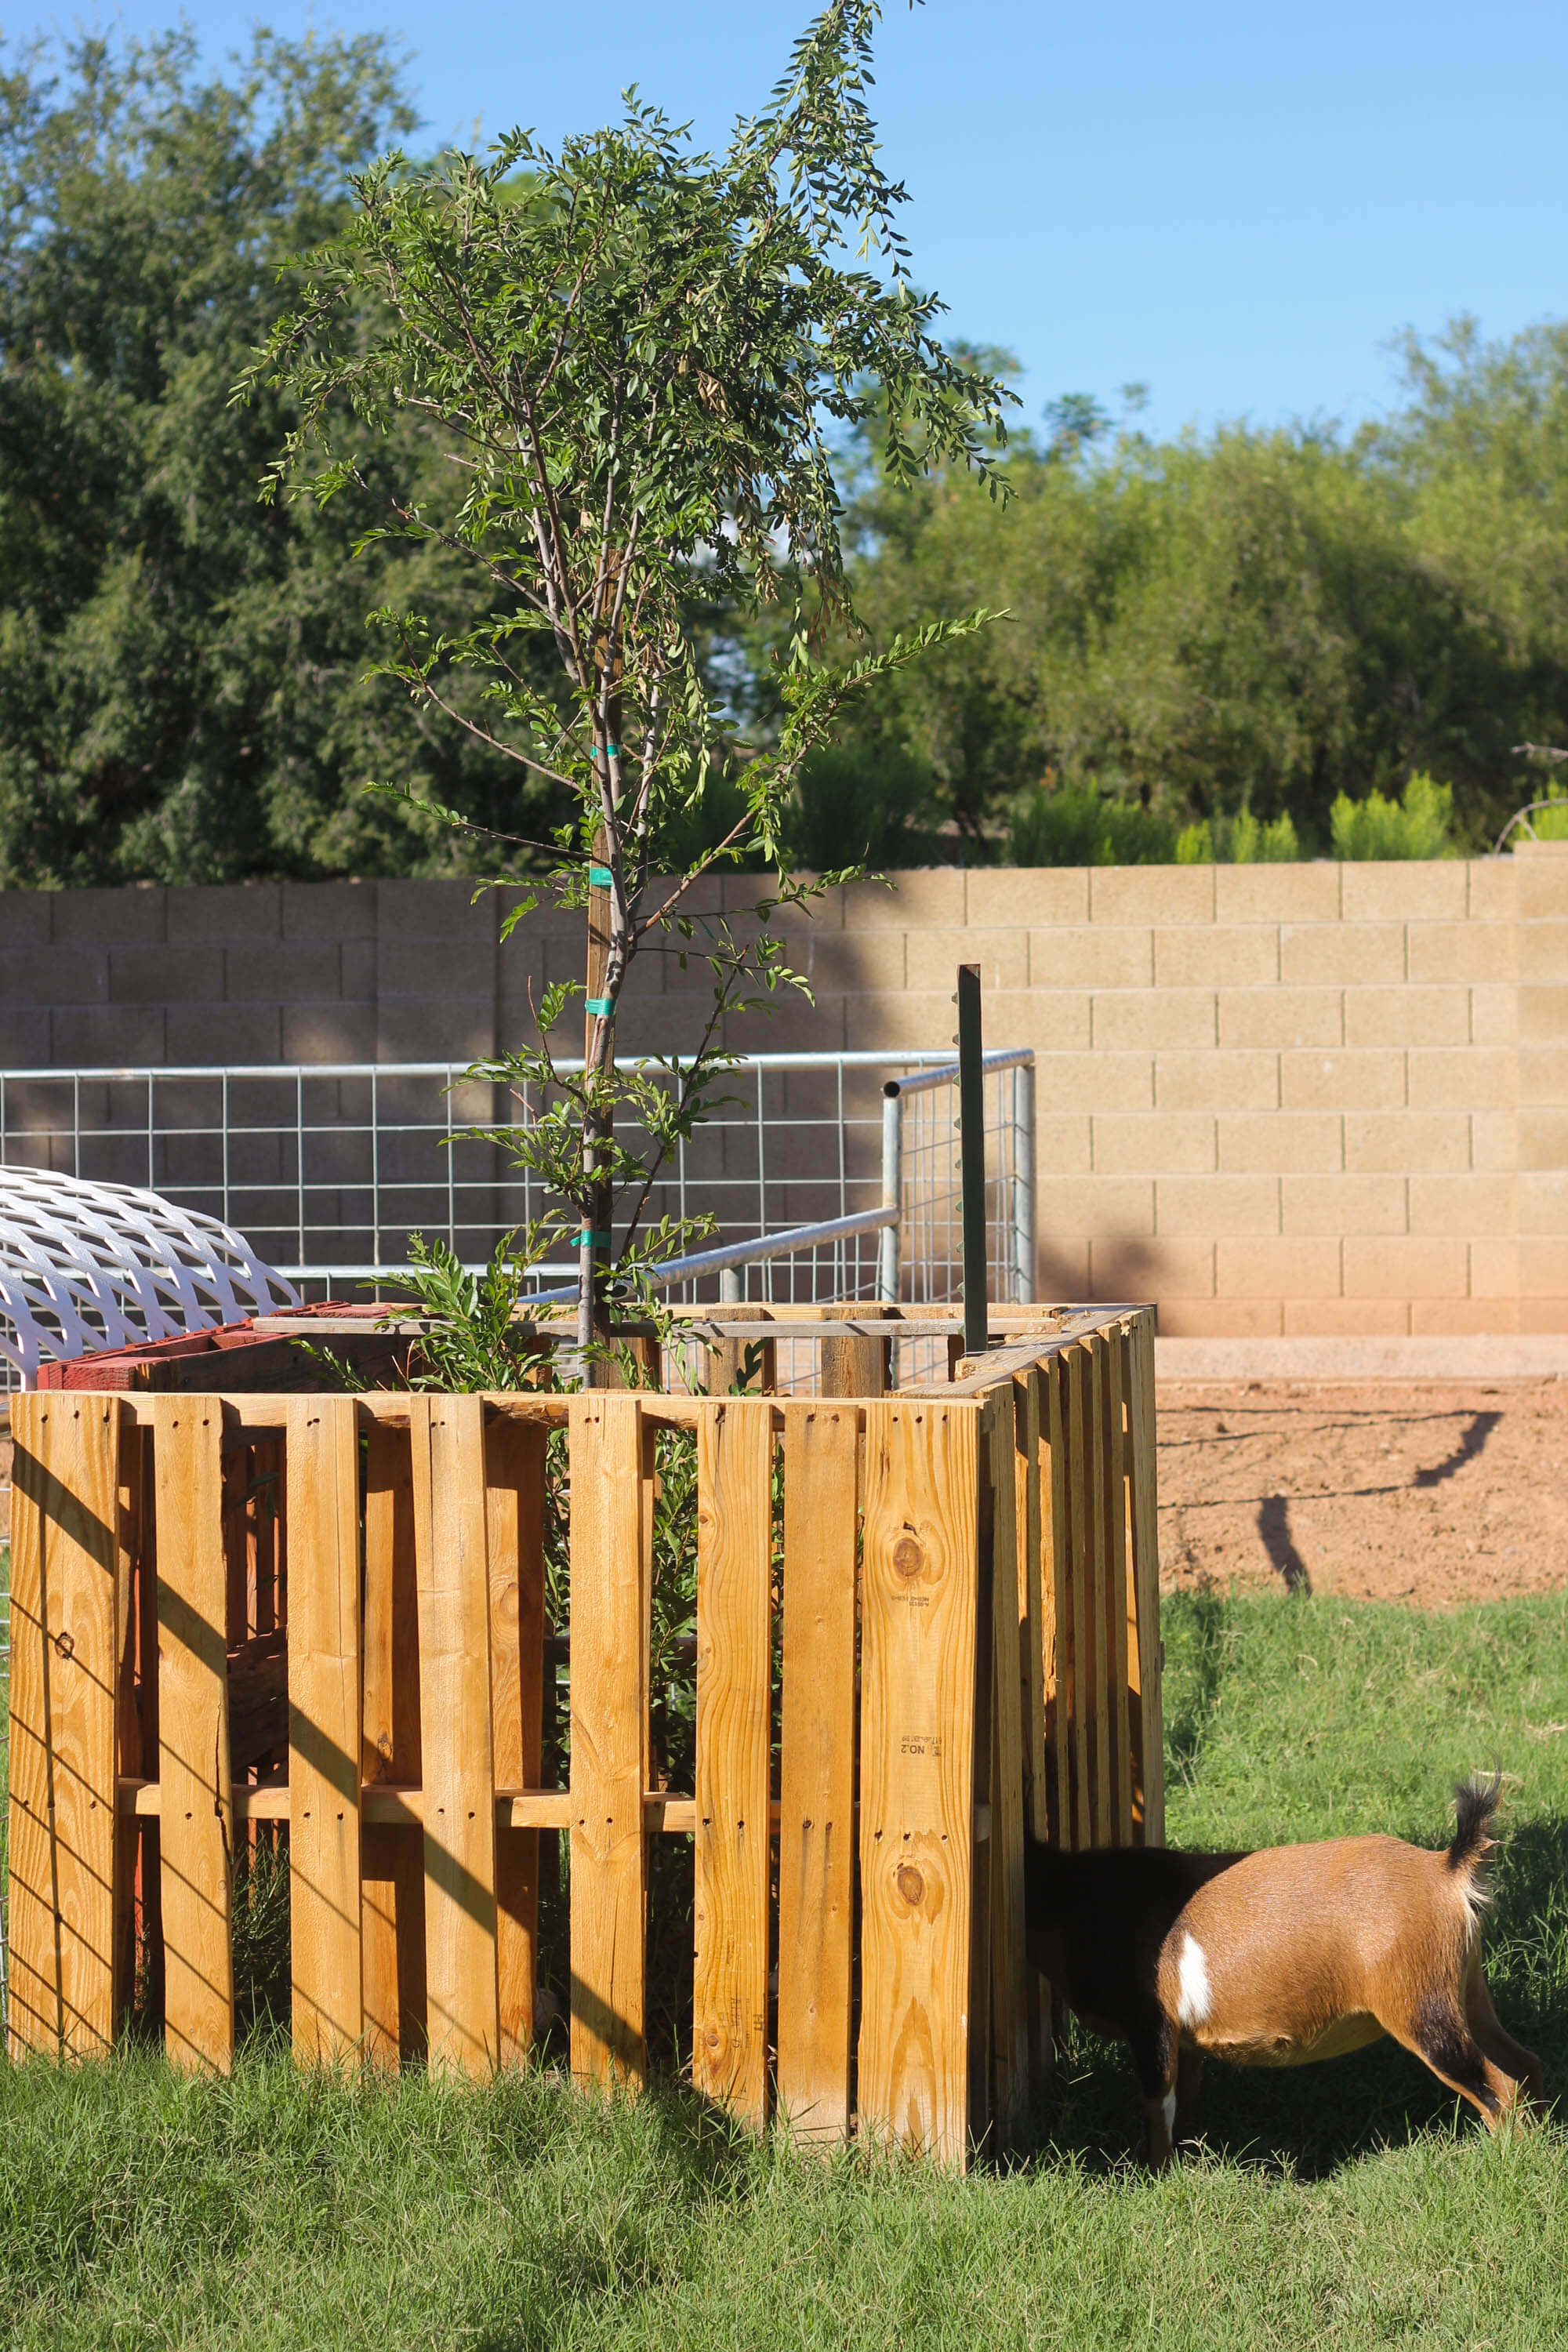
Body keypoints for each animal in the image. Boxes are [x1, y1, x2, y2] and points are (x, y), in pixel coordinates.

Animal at [1025, 1778, 1552, 2164]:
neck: (1074, 1900)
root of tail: (1446, 1869)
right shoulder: (1182, 2038)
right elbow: (1185, 2096)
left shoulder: (1150, 2024)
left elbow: (1158, 2105)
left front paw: (1152, 2174)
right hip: (1467, 1992)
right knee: (1525, 2063)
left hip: (1422, 2009)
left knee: (1497, 2086)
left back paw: (1509, 2161)